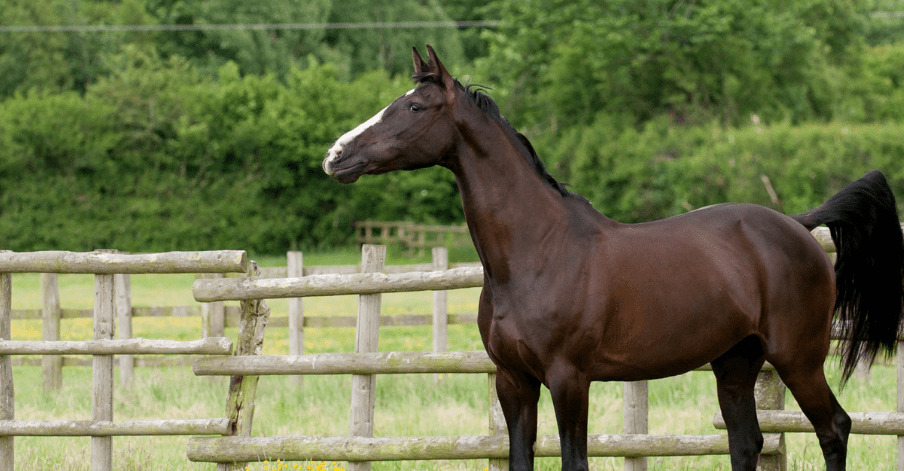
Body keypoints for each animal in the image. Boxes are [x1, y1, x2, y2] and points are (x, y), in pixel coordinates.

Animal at [323, 45, 904, 471]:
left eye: (414, 107)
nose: (336, 155)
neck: (537, 251)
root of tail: (799, 226)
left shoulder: (568, 379)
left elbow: (575, 461)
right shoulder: (513, 380)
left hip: (798, 357)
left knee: (834, 428)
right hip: (736, 363)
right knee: (747, 443)